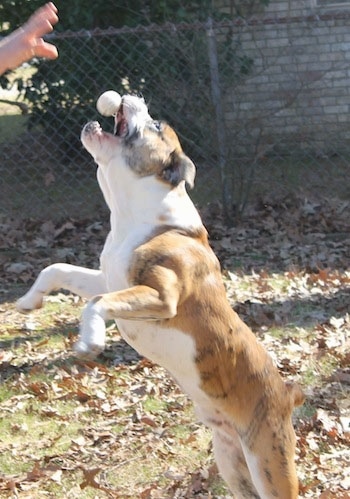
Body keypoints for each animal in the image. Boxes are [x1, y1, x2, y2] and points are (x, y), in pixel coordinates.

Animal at [17, 94, 304, 499]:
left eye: (155, 126)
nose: (130, 95)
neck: (132, 213)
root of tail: (288, 394)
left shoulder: (160, 296)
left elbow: (94, 304)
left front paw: (90, 342)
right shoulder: (108, 279)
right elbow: (57, 269)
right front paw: (28, 302)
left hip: (268, 465)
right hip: (232, 463)